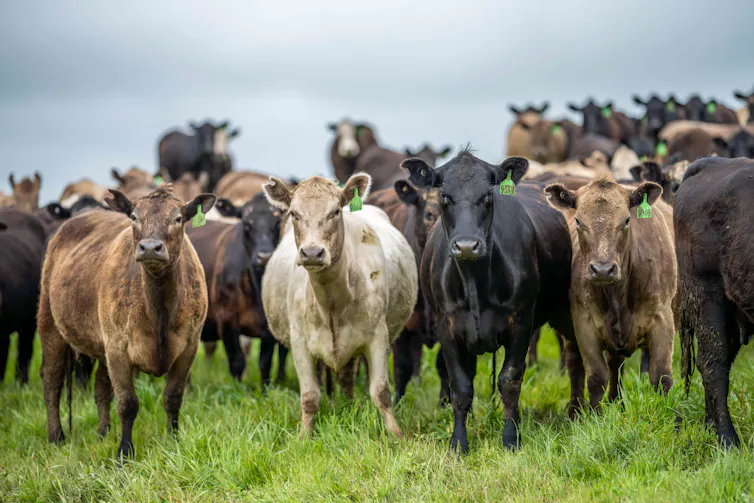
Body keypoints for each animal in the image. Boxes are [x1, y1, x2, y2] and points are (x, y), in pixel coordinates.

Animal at [38, 186, 214, 459]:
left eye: (178, 218)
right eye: (133, 217)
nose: (150, 247)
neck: (159, 309)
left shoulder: (189, 347)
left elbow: (173, 397)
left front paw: (173, 440)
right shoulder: (118, 349)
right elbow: (127, 403)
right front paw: (124, 453)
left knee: (100, 386)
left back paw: (102, 433)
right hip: (50, 325)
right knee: (52, 379)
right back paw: (56, 436)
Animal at [186, 194, 287, 385]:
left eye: (278, 222)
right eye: (246, 223)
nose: (264, 256)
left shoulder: (269, 328)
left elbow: (265, 363)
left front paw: (266, 389)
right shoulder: (226, 320)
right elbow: (237, 361)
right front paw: (236, 388)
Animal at [261, 174, 417, 438]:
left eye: (335, 211)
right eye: (294, 213)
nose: (312, 253)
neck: (332, 302)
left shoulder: (377, 337)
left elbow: (381, 392)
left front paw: (395, 434)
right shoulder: (299, 343)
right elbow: (309, 396)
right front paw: (304, 436)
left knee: (347, 377)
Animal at [403, 151, 582, 453]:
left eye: (487, 195)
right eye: (444, 195)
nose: (466, 246)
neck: (474, 282)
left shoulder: (521, 321)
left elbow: (509, 380)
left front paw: (511, 439)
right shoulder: (446, 326)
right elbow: (460, 386)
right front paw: (458, 443)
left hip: (567, 313)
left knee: (576, 358)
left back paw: (578, 411)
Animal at [544, 178, 676, 410]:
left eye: (626, 220)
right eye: (578, 221)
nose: (603, 270)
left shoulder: (663, 318)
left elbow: (662, 377)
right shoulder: (584, 323)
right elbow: (596, 378)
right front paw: (596, 416)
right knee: (575, 365)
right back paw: (576, 410)